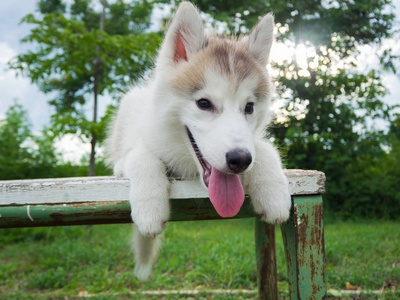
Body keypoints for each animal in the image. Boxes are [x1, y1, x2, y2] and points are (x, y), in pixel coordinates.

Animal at [106, 1, 290, 280]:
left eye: (249, 107)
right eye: (204, 103)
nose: (239, 160)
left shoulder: (253, 142)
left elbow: (265, 149)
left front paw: (273, 191)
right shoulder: (142, 141)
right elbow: (141, 157)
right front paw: (149, 208)